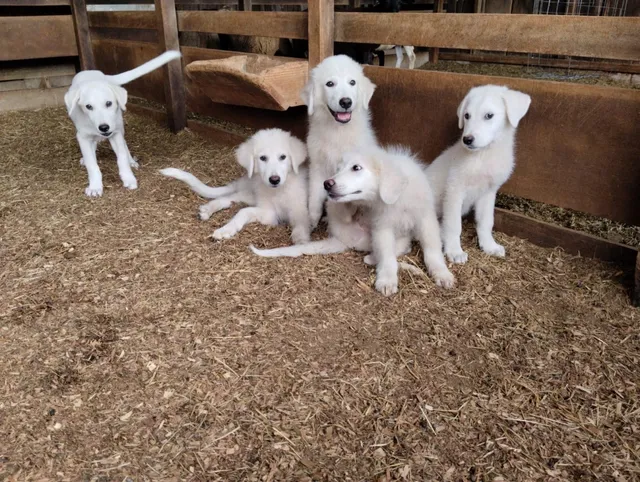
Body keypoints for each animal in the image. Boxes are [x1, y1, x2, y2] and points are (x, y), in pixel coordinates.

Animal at [64, 50, 181, 197]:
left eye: (109, 103)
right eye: (88, 106)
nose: (104, 127)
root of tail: (101, 75)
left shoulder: (116, 133)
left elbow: (122, 158)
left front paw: (129, 178)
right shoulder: (83, 137)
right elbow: (92, 163)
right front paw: (95, 186)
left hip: (119, 124)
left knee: (124, 145)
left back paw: (131, 161)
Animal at [160, 128, 310, 243]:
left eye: (283, 157)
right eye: (262, 158)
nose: (274, 180)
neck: (278, 191)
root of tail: (244, 181)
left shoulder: (299, 210)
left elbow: (301, 224)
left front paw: (301, 240)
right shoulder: (270, 213)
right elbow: (243, 211)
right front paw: (227, 229)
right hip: (252, 193)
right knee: (230, 198)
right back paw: (209, 210)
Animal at [324, 144, 456, 294]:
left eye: (356, 167)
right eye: (338, 169)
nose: (326, 184)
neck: (399, 198)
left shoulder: (426, 219)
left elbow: (432, 249)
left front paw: (442, 273)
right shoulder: (382, 226)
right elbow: (386, 256)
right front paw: (387, 280)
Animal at [424, 83, 528, 264]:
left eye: (489, 115)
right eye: (467, 116)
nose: (467, 139)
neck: (483, 155)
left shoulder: (488, 193)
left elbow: (486, 222)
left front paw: (489, 246)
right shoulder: (454, 191)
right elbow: (454, 225)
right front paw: (454, 250)